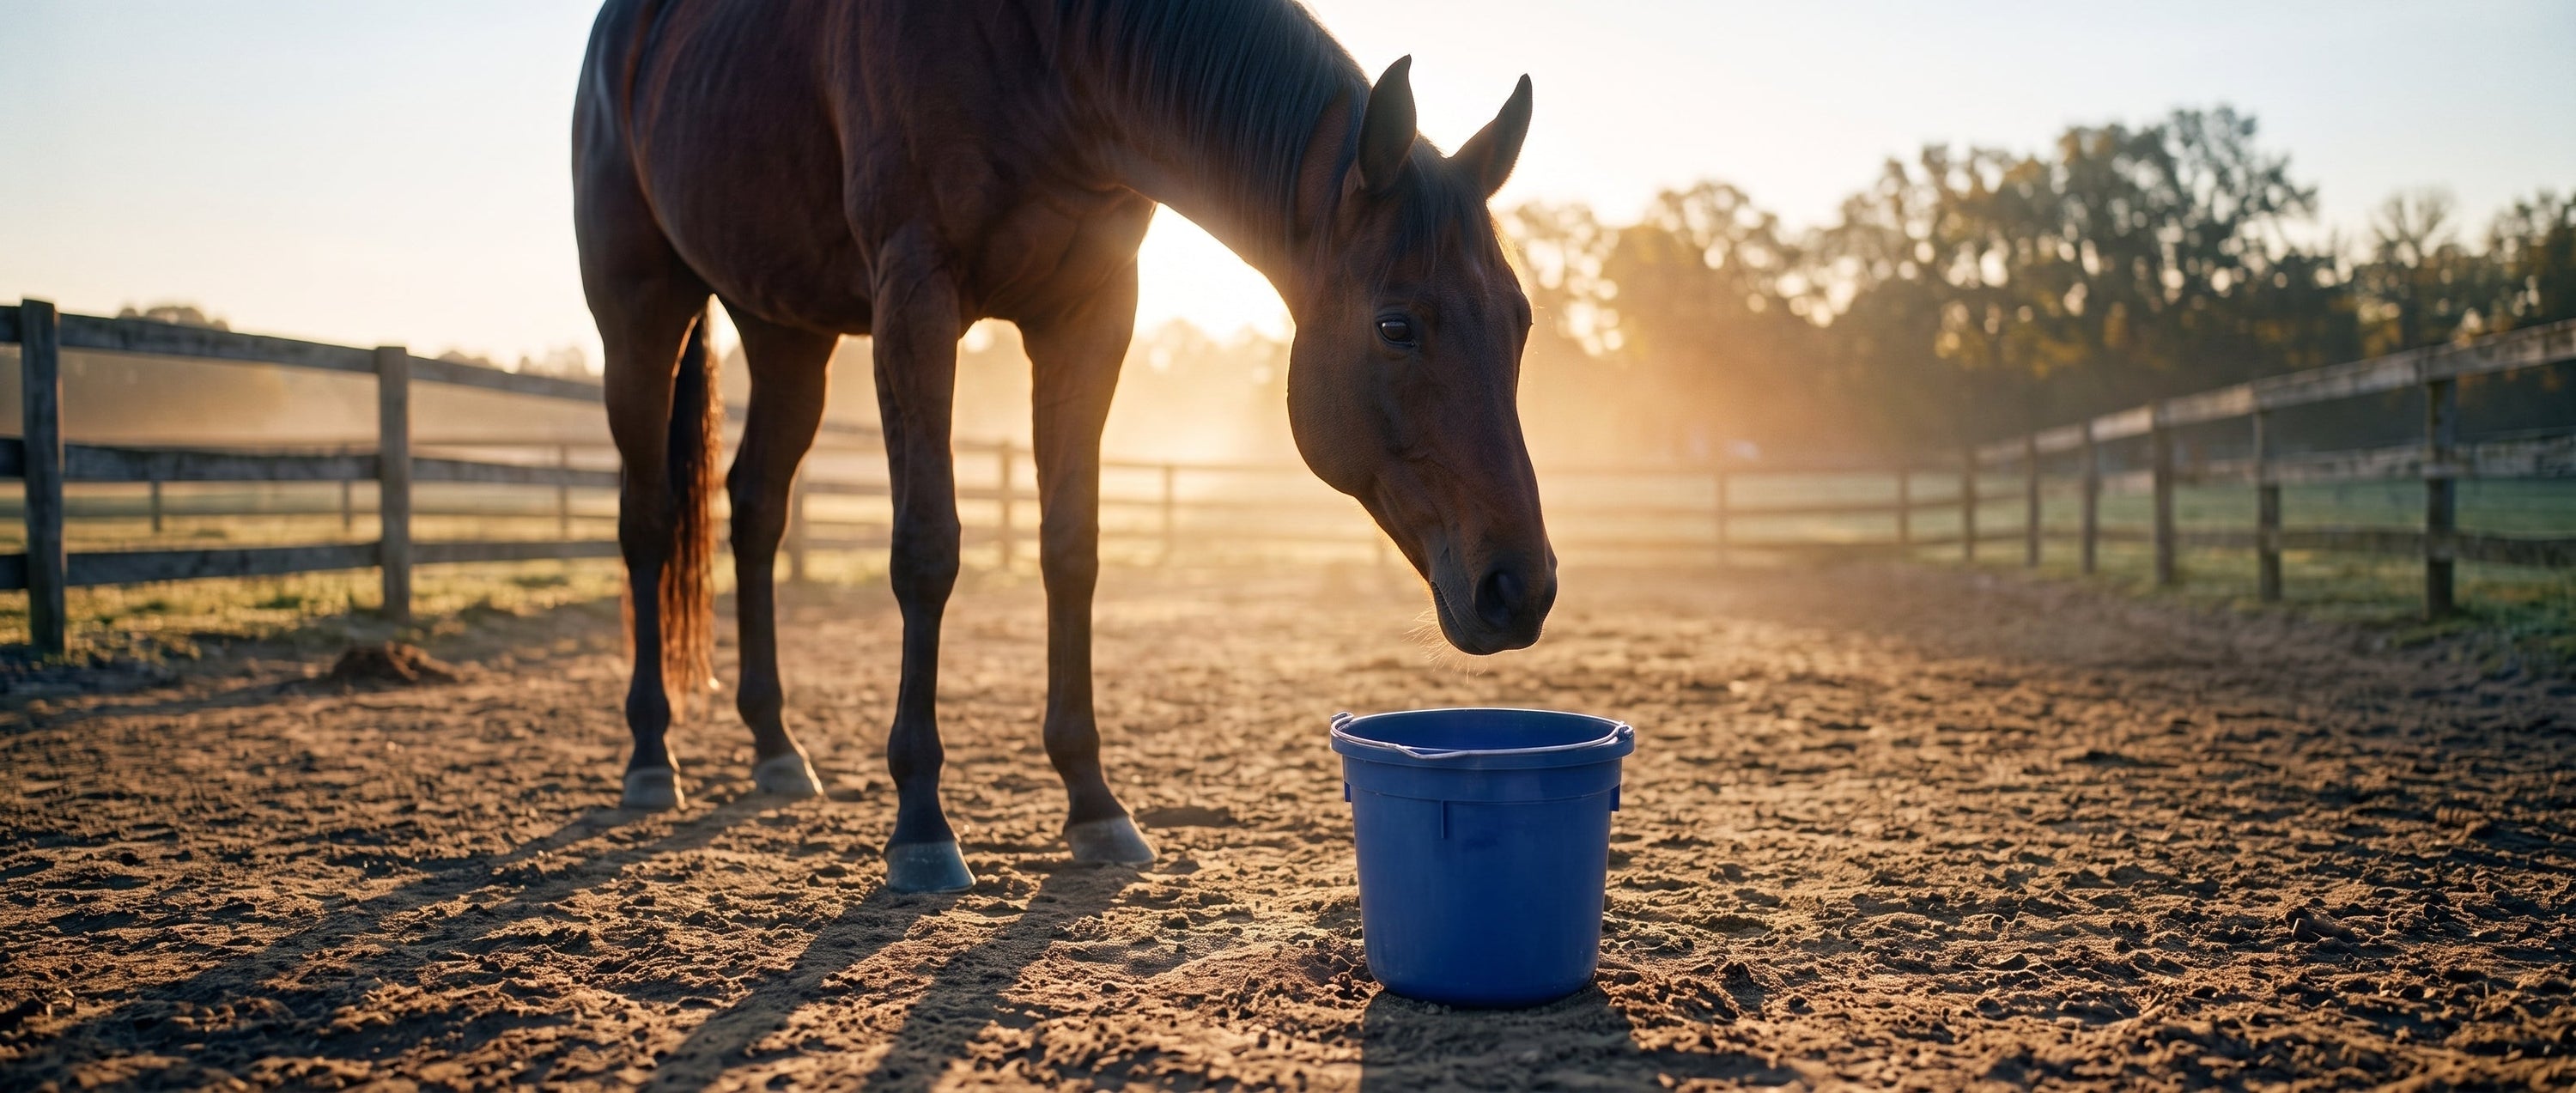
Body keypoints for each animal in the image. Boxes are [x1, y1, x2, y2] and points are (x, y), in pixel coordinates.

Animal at [574, 0, 1555, 892]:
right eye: (1396, 324)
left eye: (1520, 321)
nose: (1519, 589)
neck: (1043, 56)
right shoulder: (914, 297)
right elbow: (926, 551)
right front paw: (922, 825)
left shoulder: (1090, 312)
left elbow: (1071, 550)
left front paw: (1095, 805)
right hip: (640, 310)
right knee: (647, 521)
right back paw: (650, 755)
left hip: (785, 332)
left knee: (756, 510)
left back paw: (775, 745)